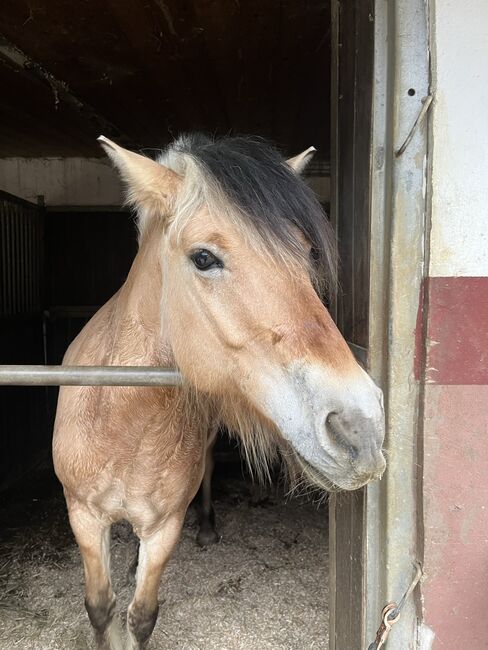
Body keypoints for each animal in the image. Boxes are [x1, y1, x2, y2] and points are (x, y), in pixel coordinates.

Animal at [52, 133, 386, 648]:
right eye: (204, 258)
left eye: (305, 253)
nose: (360, 429)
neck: (123, 427)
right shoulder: (83, 516)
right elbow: (100, 606)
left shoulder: (164, 527)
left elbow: (141, 615)